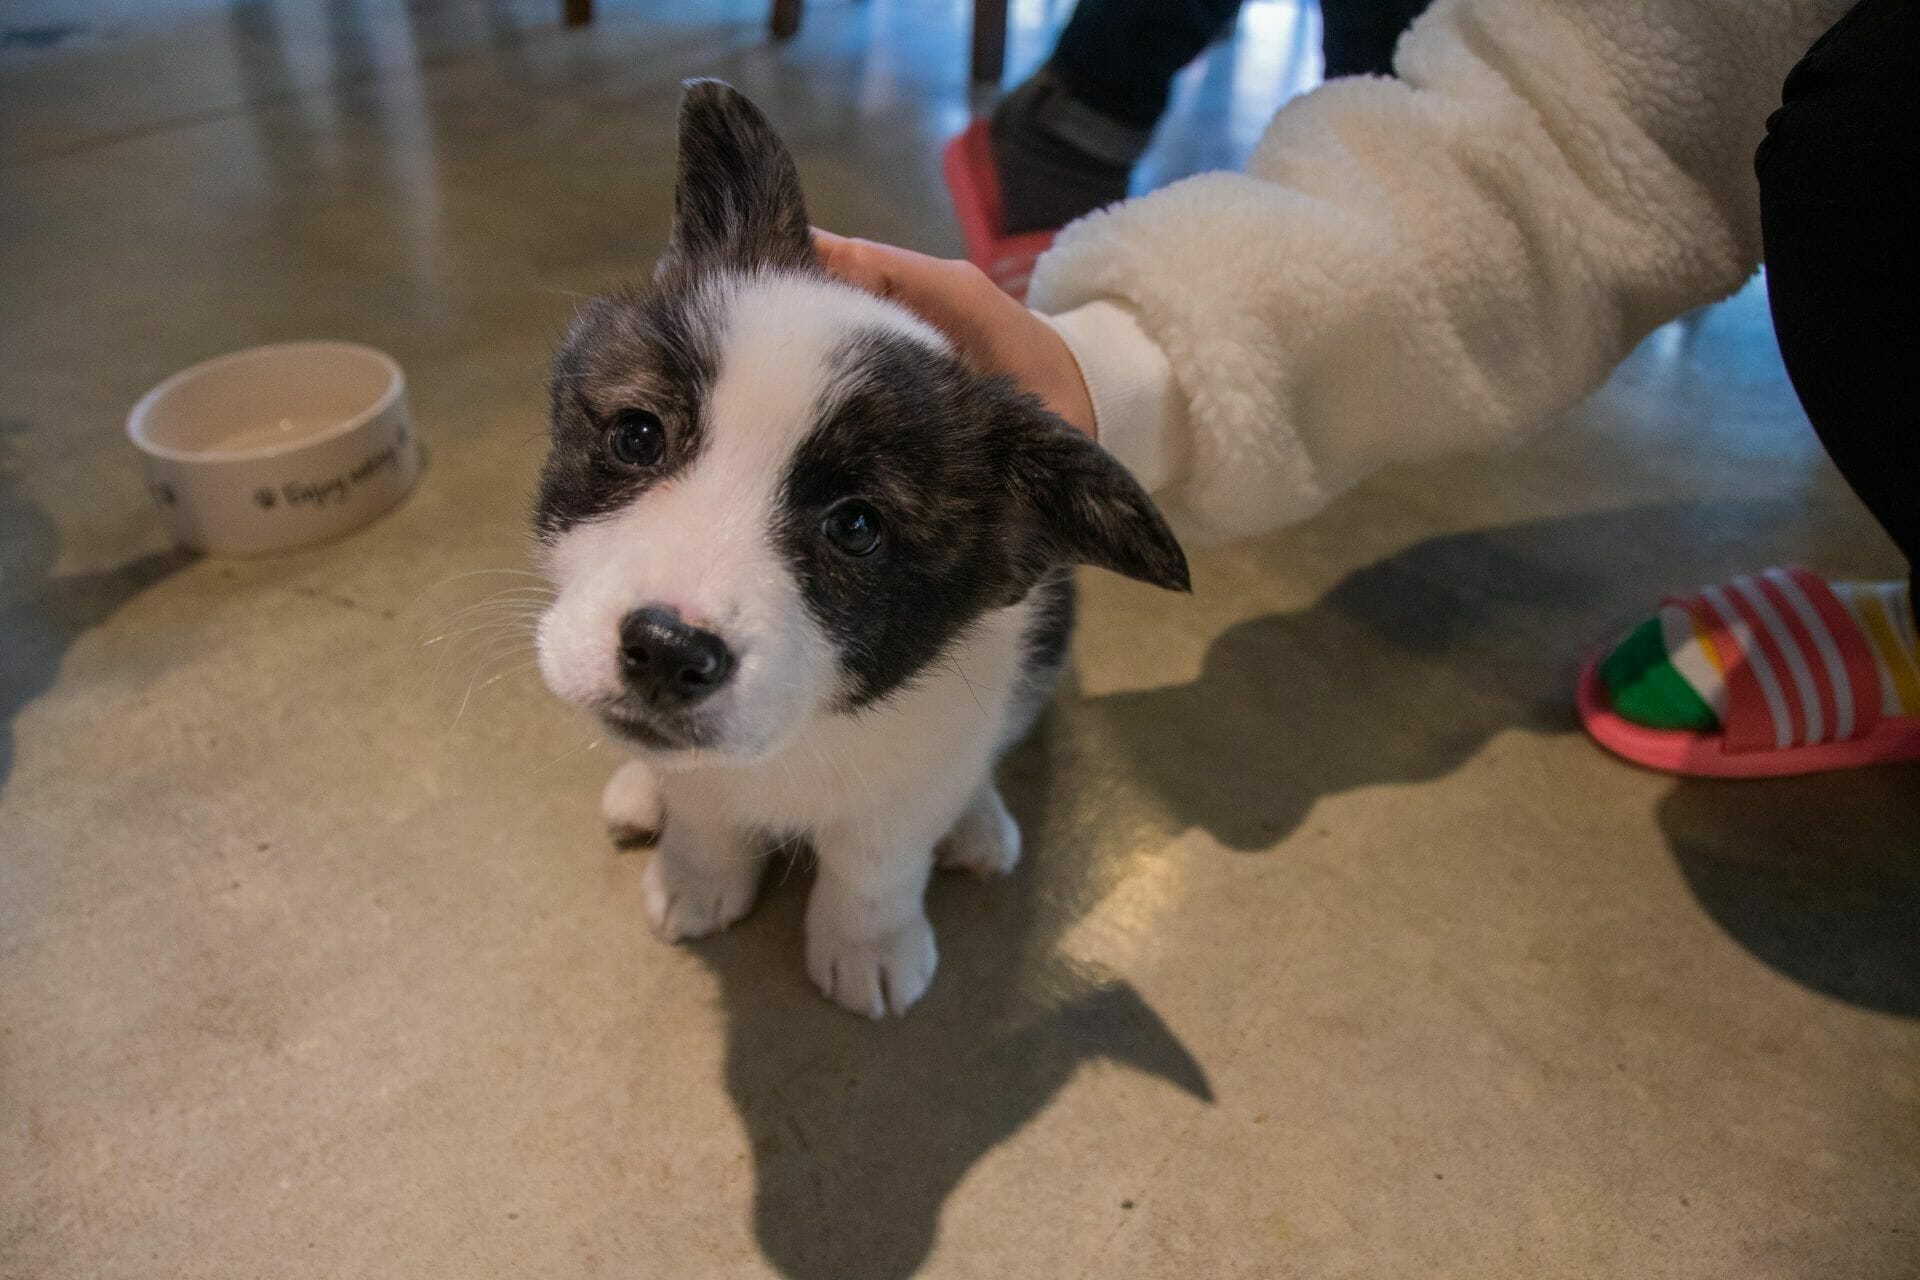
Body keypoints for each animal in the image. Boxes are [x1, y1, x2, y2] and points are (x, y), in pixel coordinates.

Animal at [529, 82, 1182, 1020]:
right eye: (637, 435)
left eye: (856, 528)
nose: (666, 651)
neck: (801, 732)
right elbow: (705, 819)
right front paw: (695, 876)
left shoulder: (911, 778)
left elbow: (876, 866)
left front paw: (868, 948)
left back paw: (978, 824)